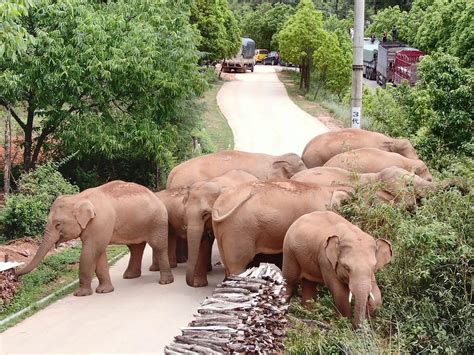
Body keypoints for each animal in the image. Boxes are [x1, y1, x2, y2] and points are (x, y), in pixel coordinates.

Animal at [18, 182, 176, 296]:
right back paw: (130, 277)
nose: (16, 275)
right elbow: (99, 253)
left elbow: (91, 251)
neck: (79, 197)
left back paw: (165, 282)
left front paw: (81, 294)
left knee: (158, 246)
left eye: (58, 224)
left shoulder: (99, 222)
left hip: (157, 220)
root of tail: (156, 195)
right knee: (135, 248)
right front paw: (104, 291)